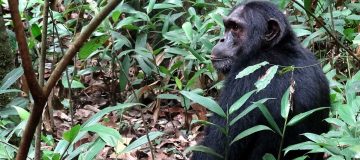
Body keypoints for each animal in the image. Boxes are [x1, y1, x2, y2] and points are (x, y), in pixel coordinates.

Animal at [191, 1, 330, 160]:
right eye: (228, 26)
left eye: (236, 28)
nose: (222, 39)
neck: (271, 49)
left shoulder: (245, 80)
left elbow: (214, 150)